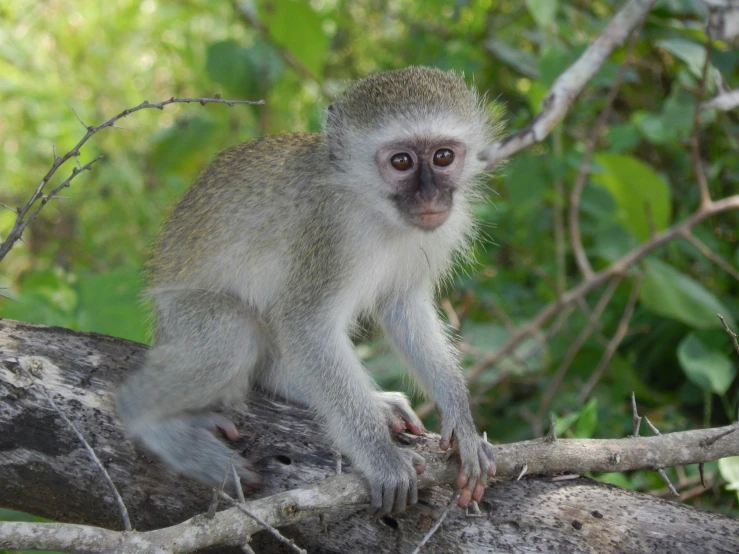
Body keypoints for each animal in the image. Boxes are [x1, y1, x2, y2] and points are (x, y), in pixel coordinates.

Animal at [117, 66, 498, 512]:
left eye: (443, 157)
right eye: (401, 162)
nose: (430, 197)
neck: (374, 207)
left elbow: (402, 306)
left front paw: (463, 424)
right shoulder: (330, 233)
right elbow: (304, 324)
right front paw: (381, 458)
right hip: (180, 315)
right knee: (232, 335)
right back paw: (149, 419)